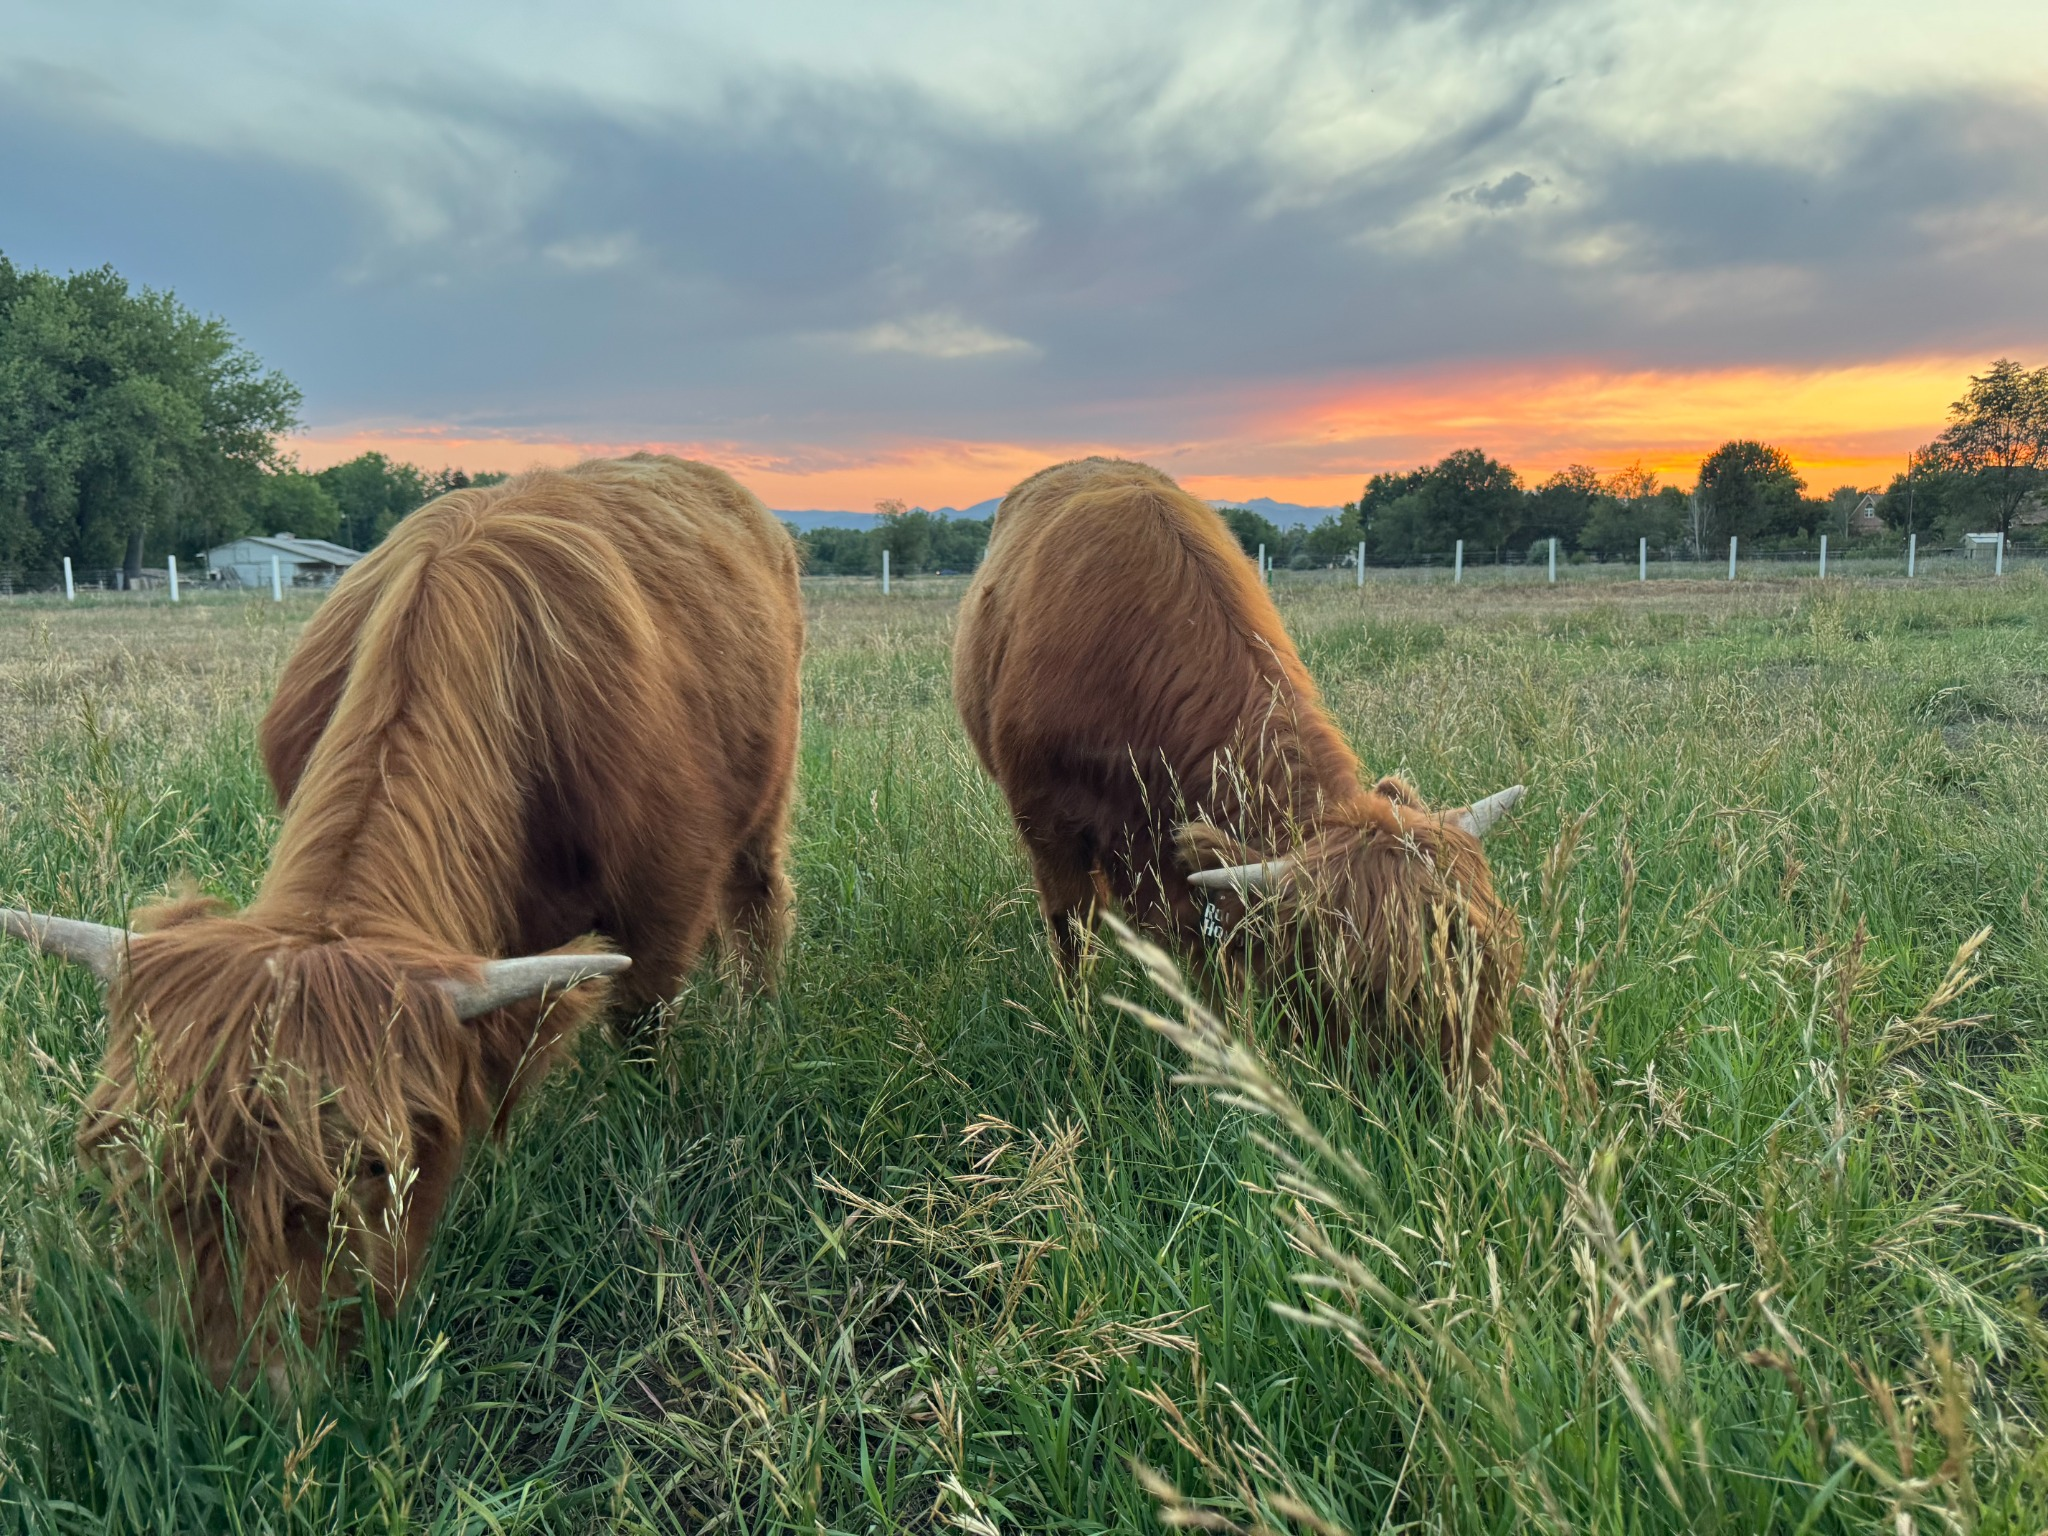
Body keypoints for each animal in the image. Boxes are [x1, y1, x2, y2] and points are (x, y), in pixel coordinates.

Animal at [1, 454, 804, 1383]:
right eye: (148, 1160)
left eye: (373, 1168)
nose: (250, 1384)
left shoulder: (663, 898)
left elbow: (639, 1026)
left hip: (765, 801)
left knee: (759, 903)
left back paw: (759, 1017)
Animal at [952, 457, 1523, 1078]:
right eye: (1363, 986)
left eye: (1500, 969)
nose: (1464, 1093)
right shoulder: (1049, 831)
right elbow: (1072, 937)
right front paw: (1081, 1034)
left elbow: (1216, 970)